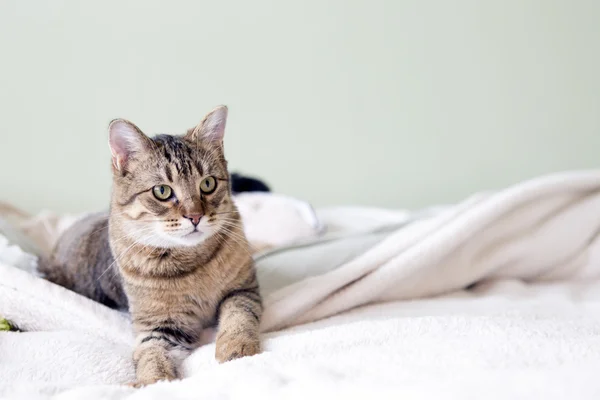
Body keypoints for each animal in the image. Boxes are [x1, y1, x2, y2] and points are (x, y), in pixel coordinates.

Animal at [38, 106, 260, 388]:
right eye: (162, 191)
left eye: (208, 184)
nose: (195, 216)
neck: (194, 263)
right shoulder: (160, 326)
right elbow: (151, 353)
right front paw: (154, 381)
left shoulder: (243, 289)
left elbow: (238, 317)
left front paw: (236, 347)